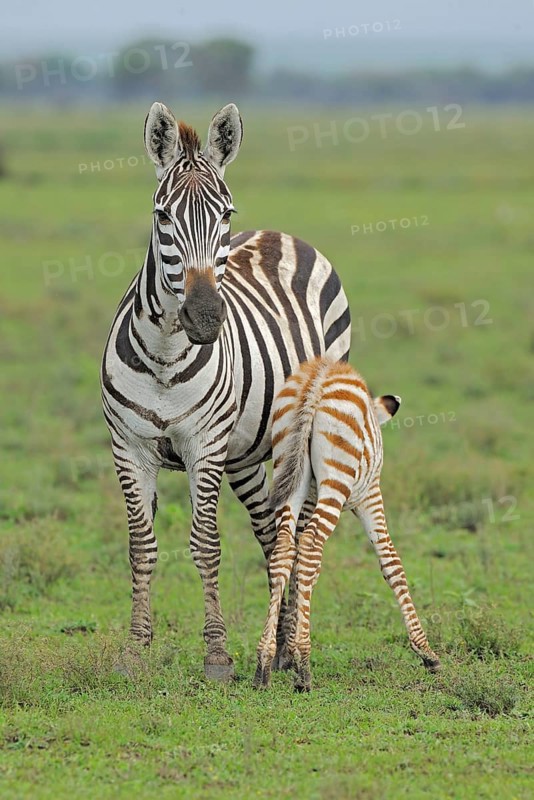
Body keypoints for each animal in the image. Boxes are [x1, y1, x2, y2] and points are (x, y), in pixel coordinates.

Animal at [100, 103, 351, 680]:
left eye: (226, 215)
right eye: (162, 217)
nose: (206, 317)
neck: (165, 356)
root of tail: (280, 234)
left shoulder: (204, 447)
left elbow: (205, 544)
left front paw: (216, 655)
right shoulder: (129, 448)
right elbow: (141, 545)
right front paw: (135, 649)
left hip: (302, 435)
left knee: (297, 532)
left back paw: (290, 649)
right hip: (244, 454)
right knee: (270, 533)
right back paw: (278, 647)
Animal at [254, 357, 440, 691]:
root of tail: (316, 379)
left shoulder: (309, 494)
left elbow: (300, 569)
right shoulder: (370, 494)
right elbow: (391, 563)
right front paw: (426, 653)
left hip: (289, 469)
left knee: (284, 549)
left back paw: (262, 666)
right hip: (337, 479)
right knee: (311, 546)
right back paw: (303, 669)